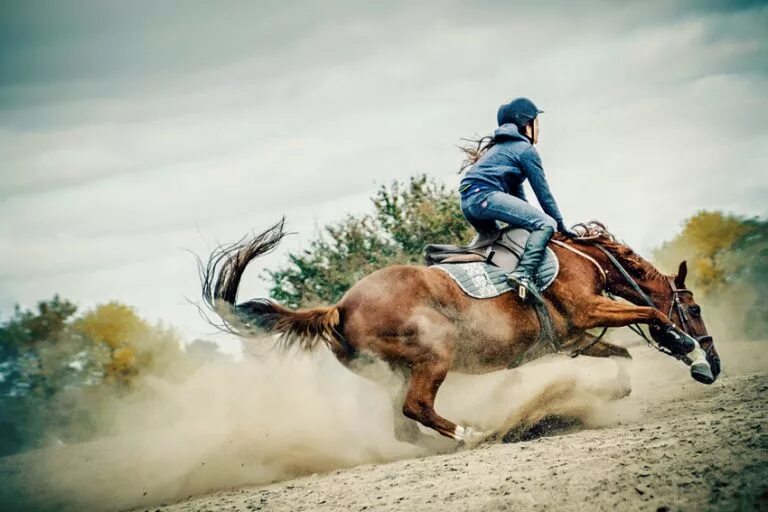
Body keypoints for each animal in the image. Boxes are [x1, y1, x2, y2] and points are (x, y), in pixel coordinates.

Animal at [198, 220, 720, 444]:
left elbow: (623, 355)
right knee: (417, 407)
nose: (717, 363)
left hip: (392, 373)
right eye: (694, 308)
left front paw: (620, 390)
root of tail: (340, 308)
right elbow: (651, 314)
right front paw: (689, 353)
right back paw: (474, 432)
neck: (582, 257)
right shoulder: (592, 311)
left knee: (403, 424)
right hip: (435, 356)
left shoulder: (576, 338)